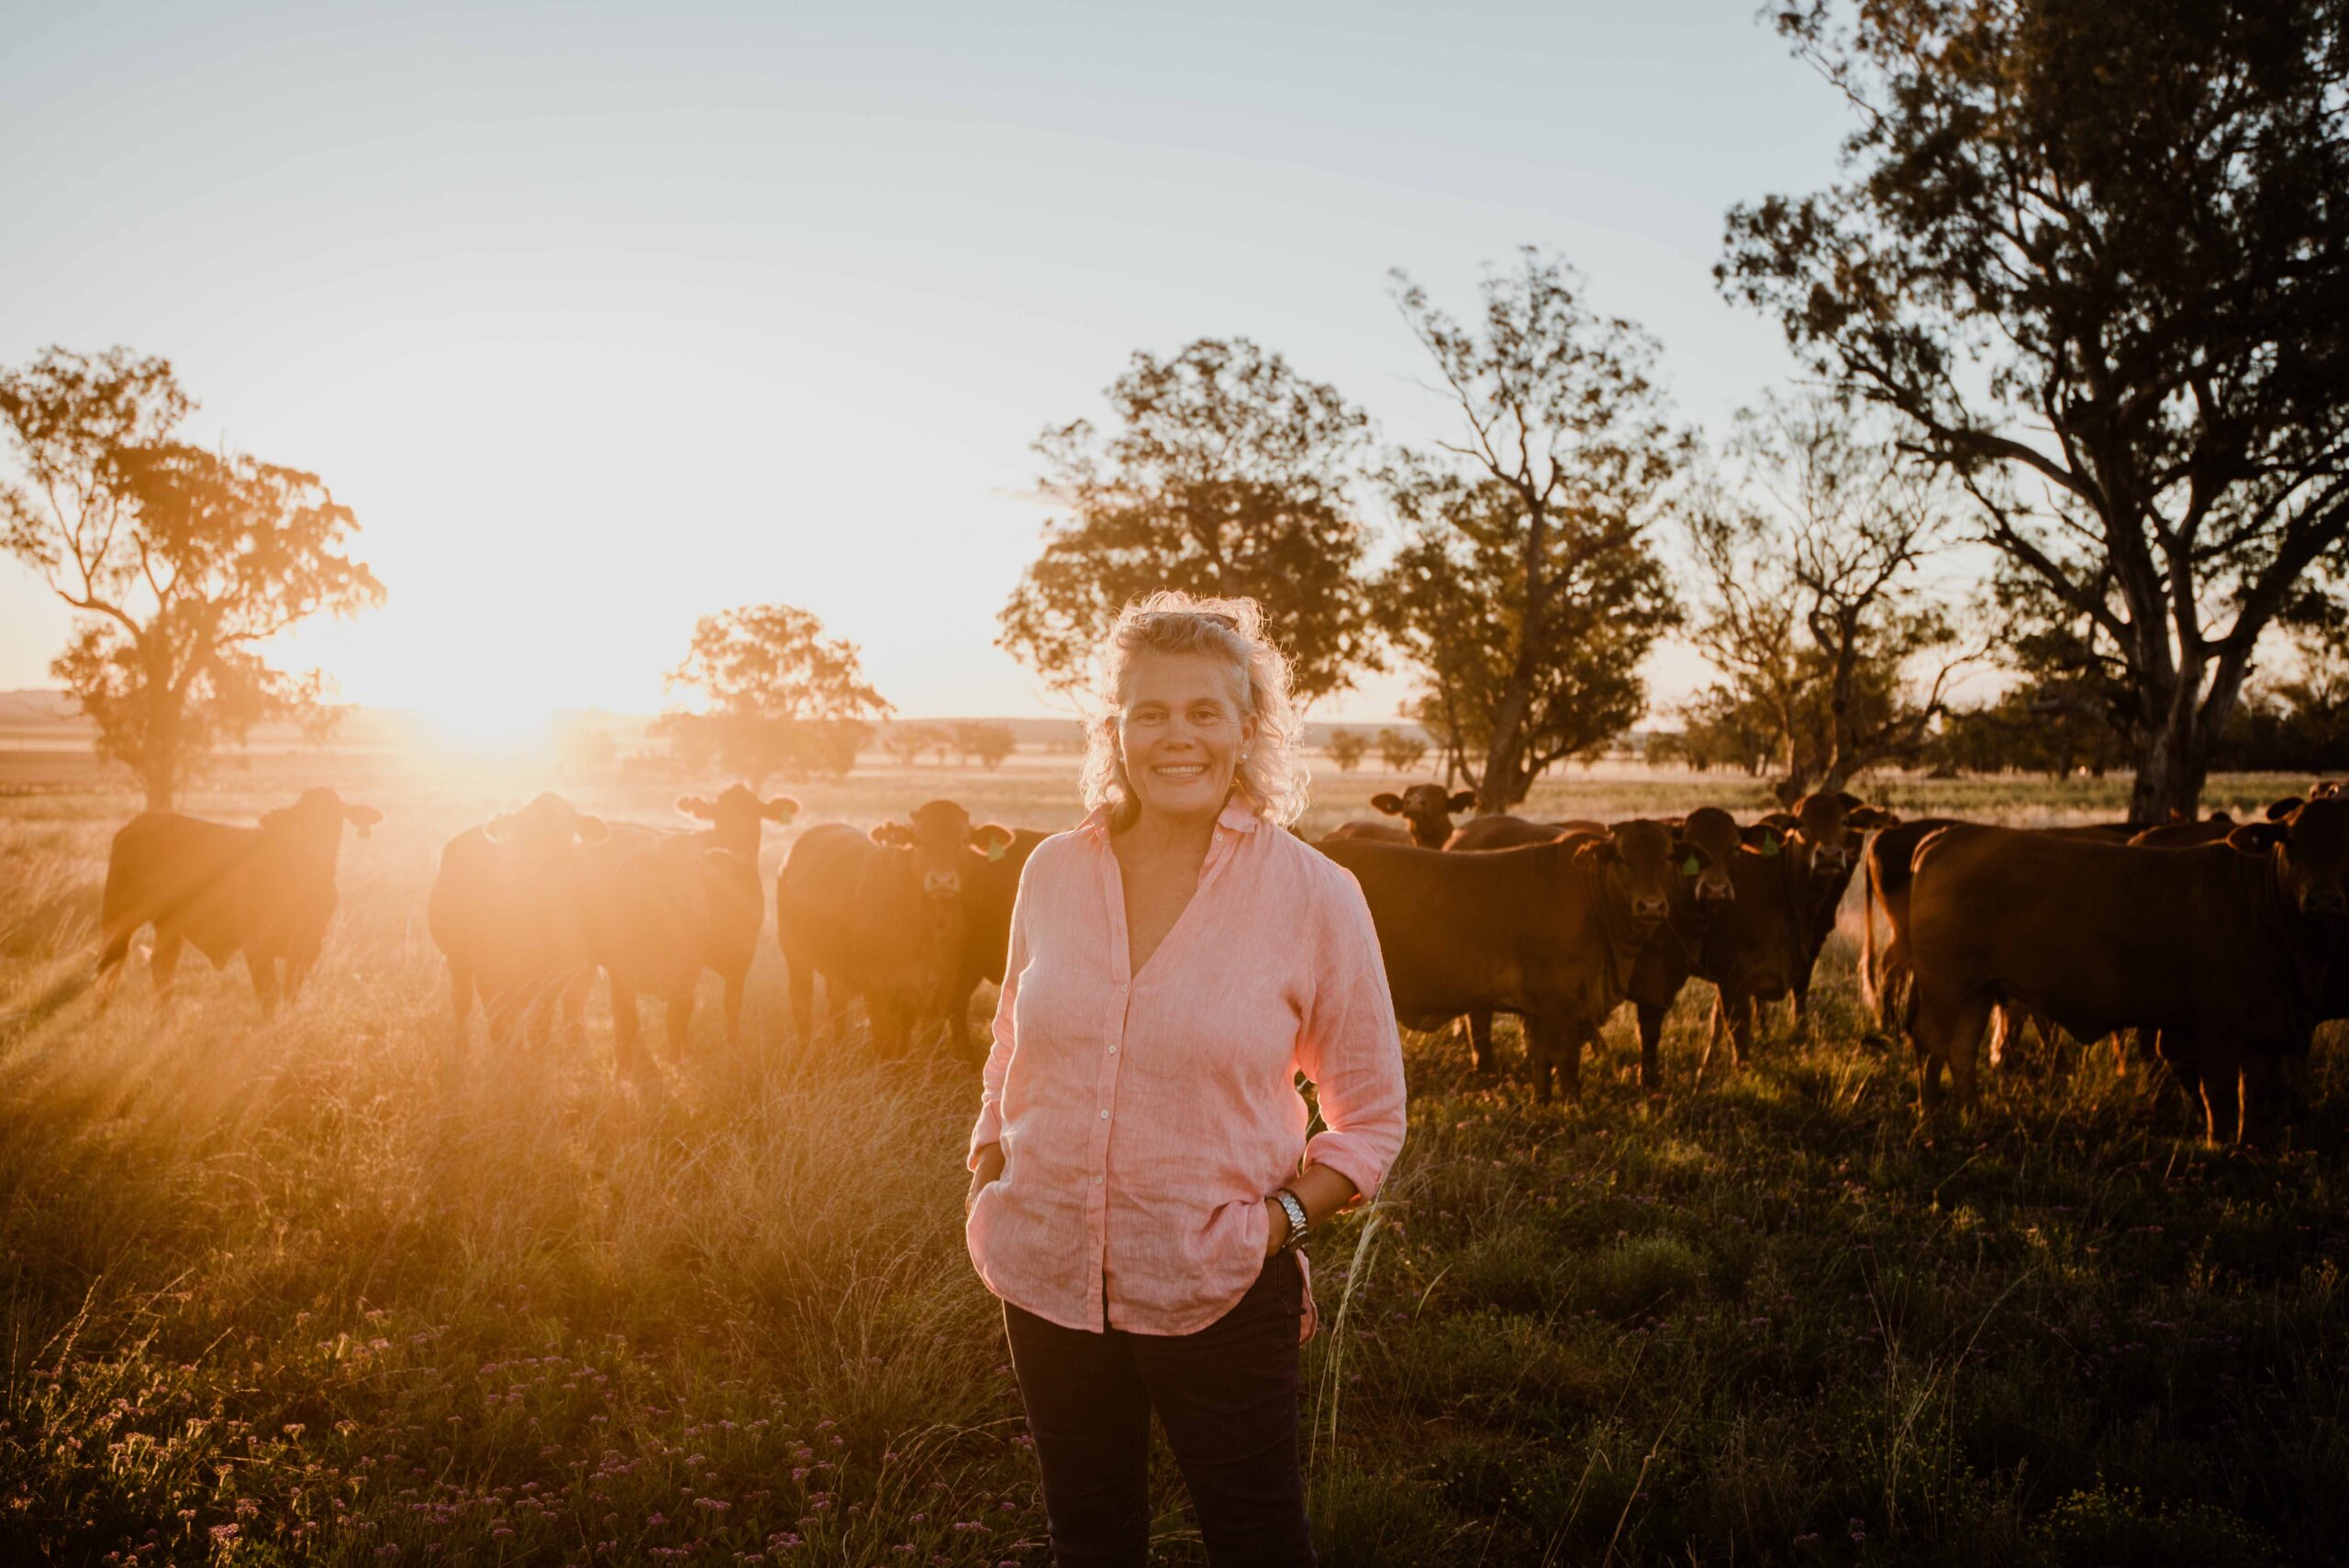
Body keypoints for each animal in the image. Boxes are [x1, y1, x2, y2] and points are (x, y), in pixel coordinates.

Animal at [95, 784, 378, 1018]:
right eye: (302, 823)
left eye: (338, 820)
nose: (322, 852)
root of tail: (141, 822)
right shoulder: (257, 948)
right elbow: (269, 999)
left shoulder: (307, 950)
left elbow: (290, 996)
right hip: (117, 917)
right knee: (109, 965)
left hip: (169, 926)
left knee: (162, 969)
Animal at [432, 797, 610, 1051]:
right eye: (526, 841)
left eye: (568, 843)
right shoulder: (490, 974)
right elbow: (499, 1027)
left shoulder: (554, 977)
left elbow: (539, 1027)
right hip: (457, 959)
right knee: (462, 1004)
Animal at [785, 807, 1014, 1051]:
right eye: (919, 841)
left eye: (963, 841)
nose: (942, 881)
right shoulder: (878, 992)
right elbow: (885, 1044)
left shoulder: (940, 994)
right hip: (796, 959)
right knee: (801, 1005)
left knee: (837, 1007)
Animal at [1324, 821, 1709, 1103]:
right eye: (1623, 859)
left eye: (1669, 857)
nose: (1651, 906)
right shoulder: (1561, 1004)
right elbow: (1566, 1060)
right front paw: (1574, 1106)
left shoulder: (1541, 1010)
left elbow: (1542, 1060)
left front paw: (1543, 1103)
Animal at [1907, 802, 2349, 1145]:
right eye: (2291, 844)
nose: (2324, 901)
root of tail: (1947, 836)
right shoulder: (2215, 1021)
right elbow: (2219, 1091)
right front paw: (2219, 1145)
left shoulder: (2263, 1022)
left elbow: (2251, 1090)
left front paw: (2250, 1143)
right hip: (1944, 986)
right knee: (1932, 1047)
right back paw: (1931, 1121)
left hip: (1976, 991)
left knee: (1962, 1051)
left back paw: (1974, 1117)